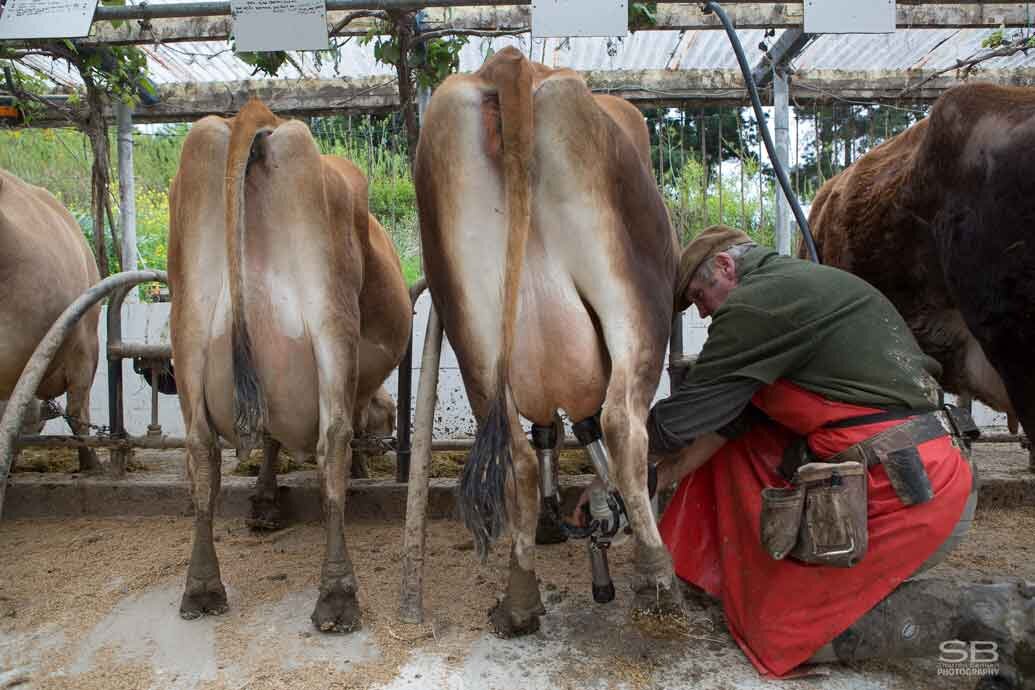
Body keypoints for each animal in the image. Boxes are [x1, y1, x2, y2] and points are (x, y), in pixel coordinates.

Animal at [167, 99, 409, 633]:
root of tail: (258, 114)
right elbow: (340, 430)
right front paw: (361, 469)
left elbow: (269, 436)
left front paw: (264, 501)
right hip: (331, 320)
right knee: (333, 439)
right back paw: (337, 597)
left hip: (186, 326)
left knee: (201, 450)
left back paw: (202, 587)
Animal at [411, 44, 678, 637]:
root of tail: (510, 64)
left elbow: (546, 438)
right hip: (636, 298)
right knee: (622, 422)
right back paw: (657, 579)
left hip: (472, 321)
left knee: (518, 458)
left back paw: (518, 602)